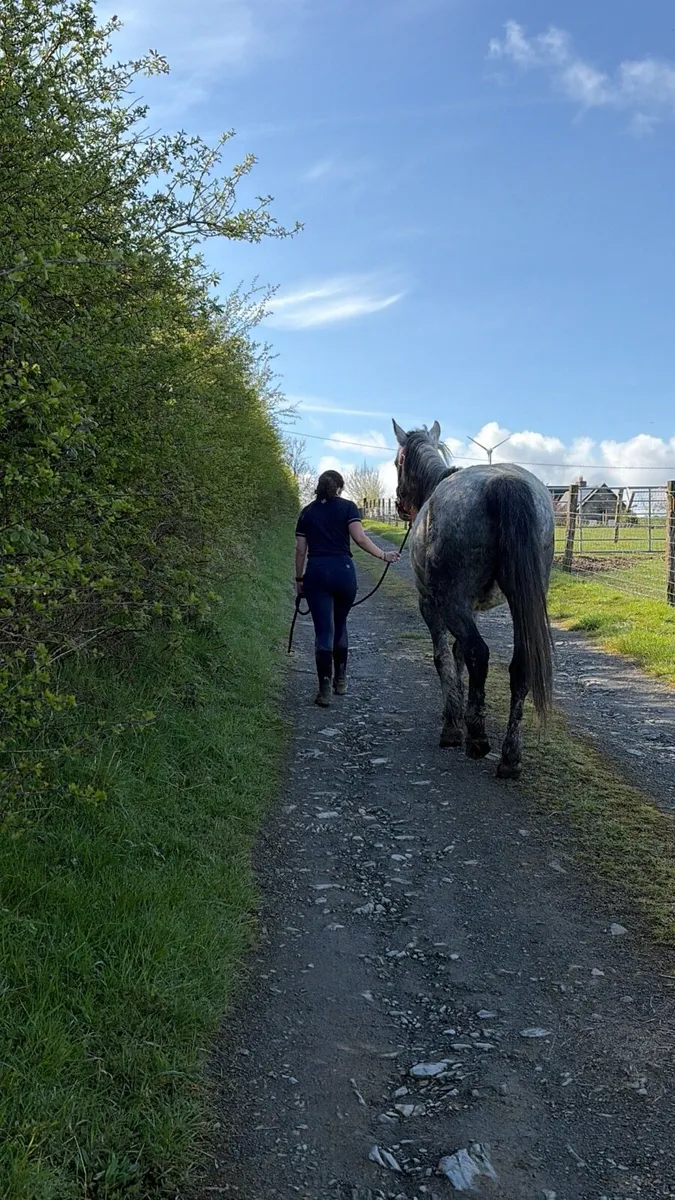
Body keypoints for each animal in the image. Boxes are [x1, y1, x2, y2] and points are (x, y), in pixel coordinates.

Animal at [392, 420, 555, 779]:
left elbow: (444, 657)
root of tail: (502, 482)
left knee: (480, 652)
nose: (398, 505)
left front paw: (453, 724)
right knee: (519, 665)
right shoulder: (474, 608)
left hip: (450, 602)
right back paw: (510, 756)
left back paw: (477, 738)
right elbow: (458, 654)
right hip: (520, 602)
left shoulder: (431, 605)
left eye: (398, 461)